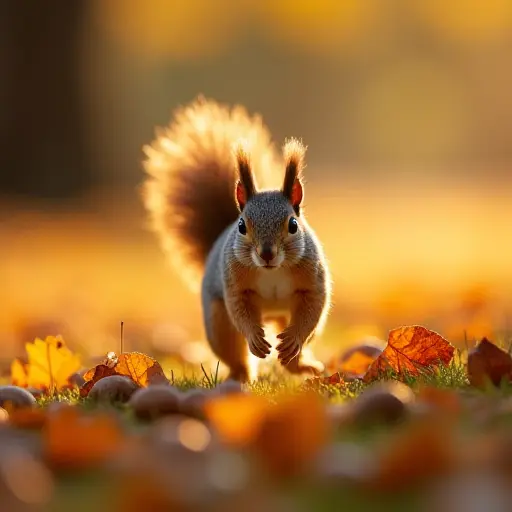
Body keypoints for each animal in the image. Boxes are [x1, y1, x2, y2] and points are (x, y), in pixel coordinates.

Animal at [142, 98, 332, 382]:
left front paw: (295, 339)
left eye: (293, 225)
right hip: (219, 323)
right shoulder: (233, 282)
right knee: (235, 354)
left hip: (290, 318)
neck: (272, 271)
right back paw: (241, 376)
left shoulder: (312, 279)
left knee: (293, 353)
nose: (266, 254)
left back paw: (302, 364)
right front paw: (254, 338)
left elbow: (312, 308)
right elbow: (239, 309)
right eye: (242, 226)